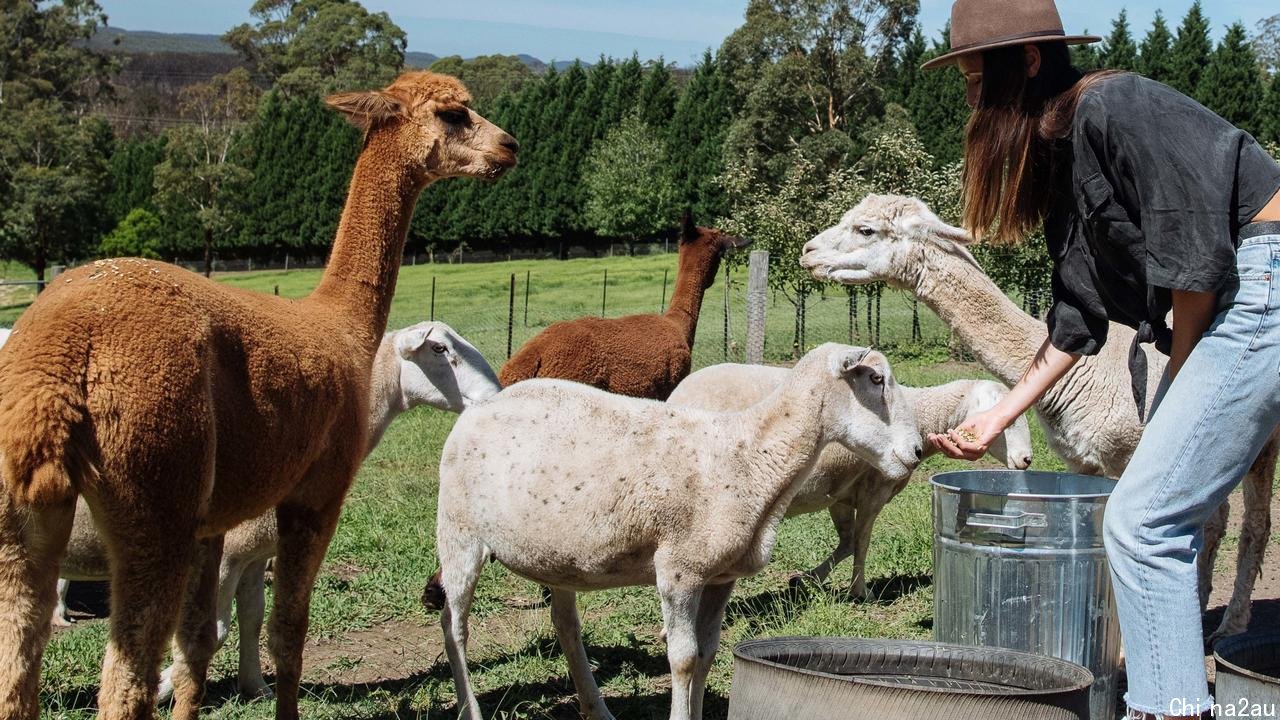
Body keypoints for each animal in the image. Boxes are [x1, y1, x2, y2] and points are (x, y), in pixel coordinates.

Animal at [53, 322, 499, 696]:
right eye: (440, 349)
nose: (495, 396)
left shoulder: (252, 554)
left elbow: (252, 619)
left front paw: (255, 687)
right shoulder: (223, 556)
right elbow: (214, 629)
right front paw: (166, 687)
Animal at [435, 340, 926, 717]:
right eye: (875, 380)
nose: (918, 450)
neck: (750, 455)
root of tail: (479, 408)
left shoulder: (721, 576)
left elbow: (708, 653)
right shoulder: (678, 570)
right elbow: (685, 659)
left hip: (559, 555)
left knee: (566, 626)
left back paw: (596, 707)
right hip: (458, 532)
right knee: (454, 626)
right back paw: (470, 709)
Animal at [665, 363, 1034, 594]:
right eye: (1008, 420)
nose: (1027, 460)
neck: (919, 414)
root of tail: (676, 397)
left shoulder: (839, 492)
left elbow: (845, 542)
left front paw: (808, 580)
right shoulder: (874, 489)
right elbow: (861, 541)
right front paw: (859, 591)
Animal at [793, 192, 1274, 638]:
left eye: (866, 229)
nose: (808, 251)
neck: (1088, 369)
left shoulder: (1130, 454)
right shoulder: (1084, 461)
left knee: (1253, 523)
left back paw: (1232, 622)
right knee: (1217, 520)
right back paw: (1204, 605)